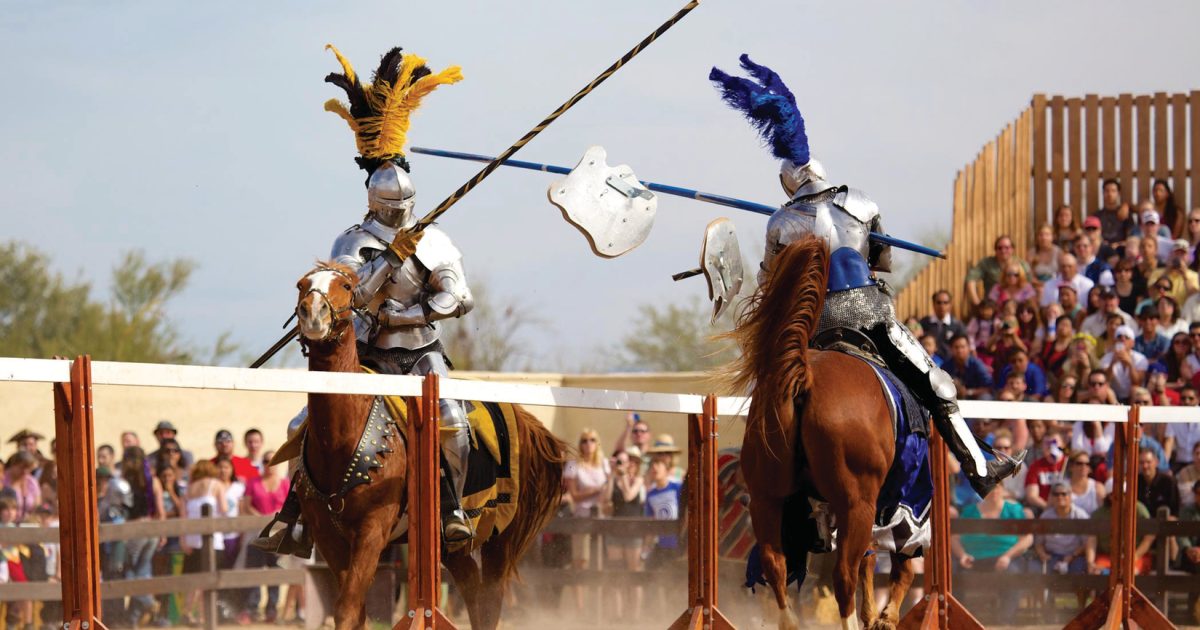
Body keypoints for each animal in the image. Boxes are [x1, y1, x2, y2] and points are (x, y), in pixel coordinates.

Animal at [294, 261, 566, 628]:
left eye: (347, 286)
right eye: (302, 285)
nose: (313, 313)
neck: (341, 440)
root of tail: (519, 414)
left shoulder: (372, 530)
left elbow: (348, 607)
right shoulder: (327, 535)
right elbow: (353, 608)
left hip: (500, 534)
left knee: (490, 598)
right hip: (450, 546)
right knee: (472, 590)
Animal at [720, 235, 916, 628]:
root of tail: (804, 377)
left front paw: (876, 615)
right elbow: (900, 562)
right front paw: (885, 617)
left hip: (767, 498)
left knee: (776, 564)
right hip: (855, 503)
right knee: (844, 573)